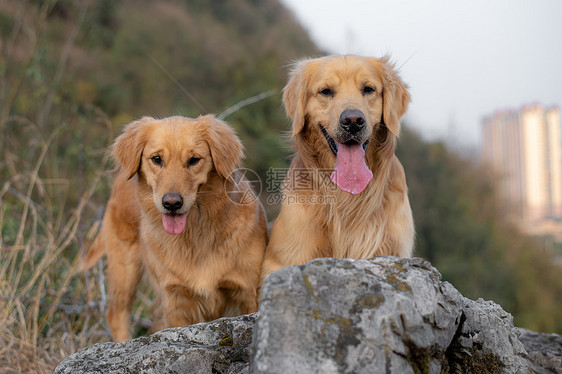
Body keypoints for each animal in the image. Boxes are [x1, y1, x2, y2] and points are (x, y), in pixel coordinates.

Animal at [79, 115, 270, 340]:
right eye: (157, 159)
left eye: (194, 160)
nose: (171, 203)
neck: (196, 233)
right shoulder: (177, 300)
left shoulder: (248, 292)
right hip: (124, 267)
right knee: (117, 315)